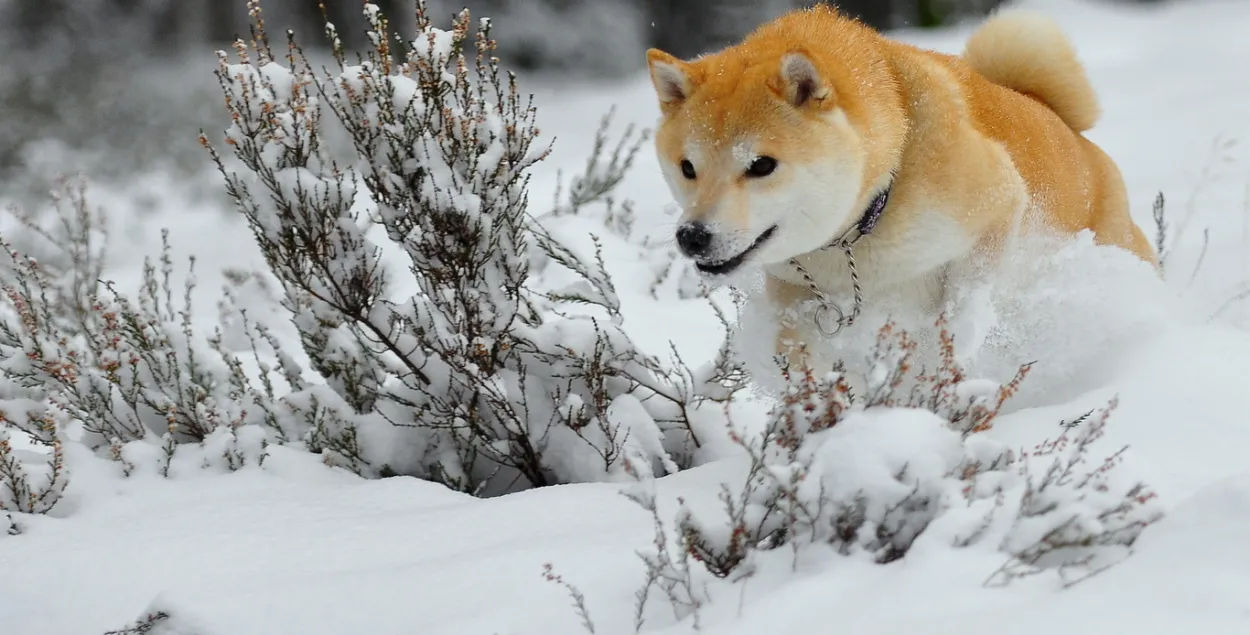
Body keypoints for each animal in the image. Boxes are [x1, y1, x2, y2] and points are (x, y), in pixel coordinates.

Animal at [650, 6, 1155, 367]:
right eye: (688, 167)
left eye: (761, 165)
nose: (693, 236)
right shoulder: (794, 288)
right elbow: (797, 352)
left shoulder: (998, 202)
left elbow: (964, 301)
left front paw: (951, 349)